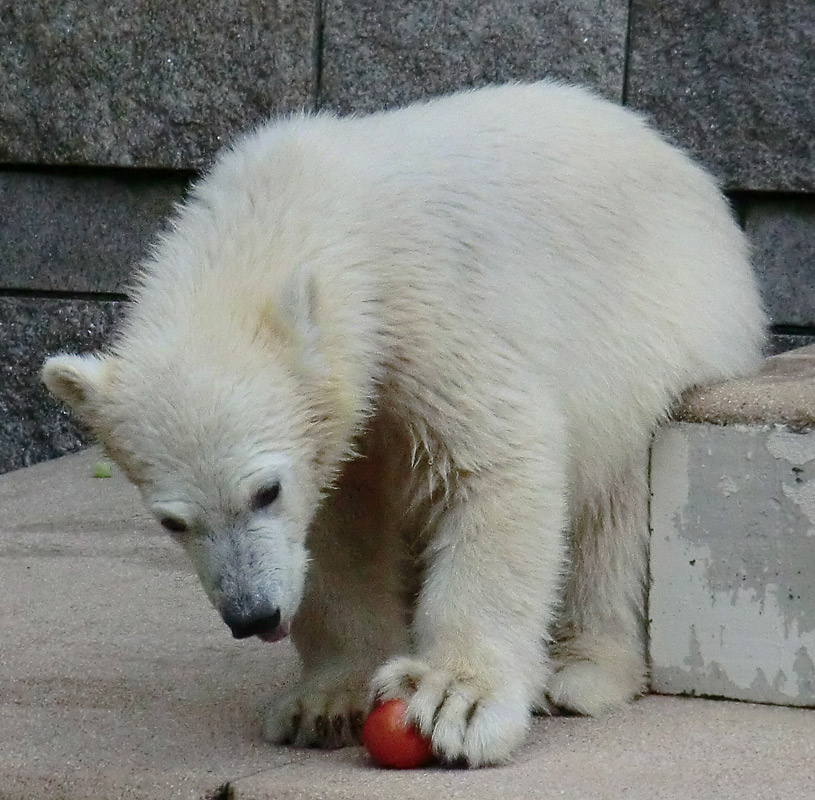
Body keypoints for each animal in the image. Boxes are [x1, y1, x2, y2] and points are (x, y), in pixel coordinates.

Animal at [41, 83, 768, 768]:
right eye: (171, 522)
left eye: (265, 491)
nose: (252, 614)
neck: (298, 205)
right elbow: (336, 533)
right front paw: (324, 703)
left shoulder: (425, 302)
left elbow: (495, 460)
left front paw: (457, 699)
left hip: (659, 334)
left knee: (612, 510)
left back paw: (581, 670)